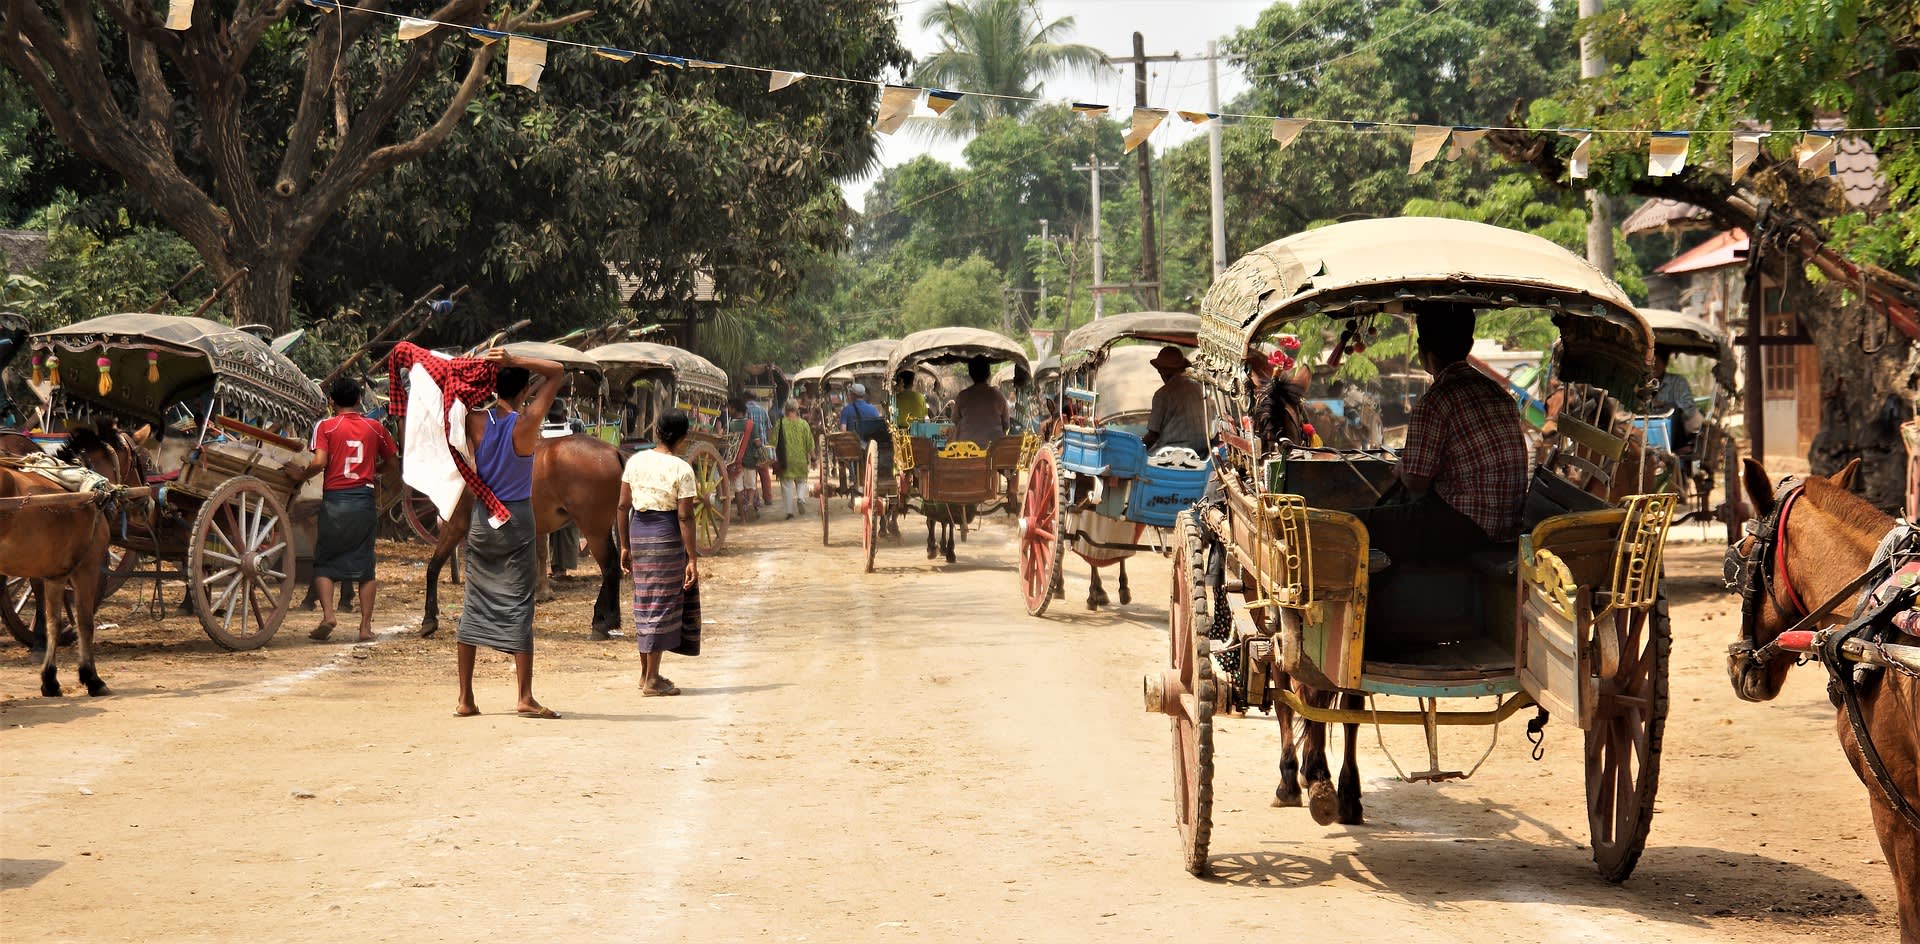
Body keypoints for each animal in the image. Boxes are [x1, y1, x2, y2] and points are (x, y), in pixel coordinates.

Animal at [422, 435, 625, 640]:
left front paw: (429, 620)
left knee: (610, 568)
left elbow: (434, 567)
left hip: (594, 531)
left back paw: (602, 623)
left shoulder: (455, 524)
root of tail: (613, 451)